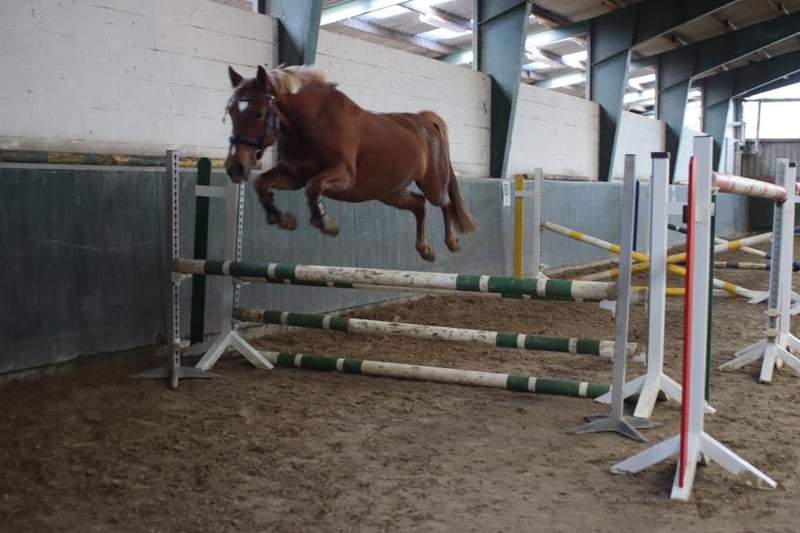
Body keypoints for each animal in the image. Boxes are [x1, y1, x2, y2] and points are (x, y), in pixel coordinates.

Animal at [224, 64, 478, 262]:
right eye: (231, 112)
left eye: (258, 113)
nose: (235, 168)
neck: (310, 124)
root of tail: (425, 120)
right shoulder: (293, 175)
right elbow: (262, 183)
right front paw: (281, 218)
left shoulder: (343, 176)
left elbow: (313, 187)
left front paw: (325, 222)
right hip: (388, 193)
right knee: (419, 204)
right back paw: (425, 249)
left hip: (431, 183)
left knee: (444, 202)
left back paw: (452, 242)